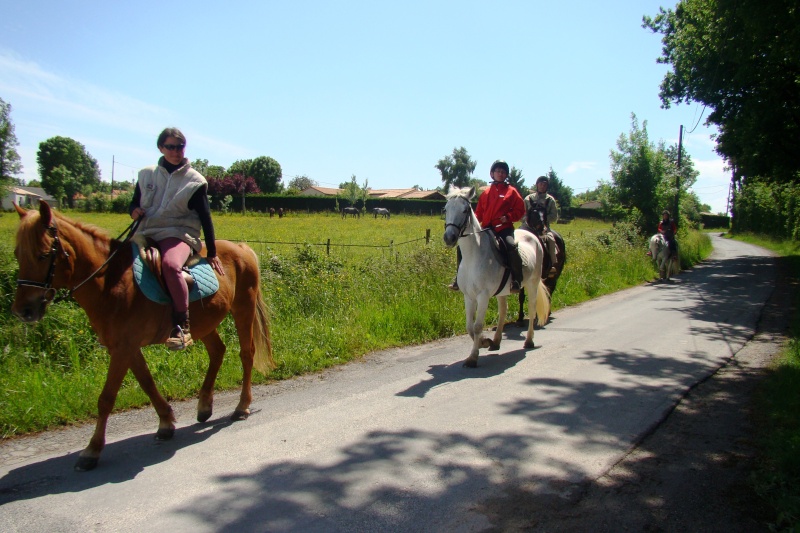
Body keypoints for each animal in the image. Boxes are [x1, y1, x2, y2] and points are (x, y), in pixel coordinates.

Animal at [11, 201, 276, 470]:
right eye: (17, 254)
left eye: (43, 254)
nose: (24, 310)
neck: (111, 281)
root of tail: (241, 248)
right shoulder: (125, 347)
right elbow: (147, 382)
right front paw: (166, 423)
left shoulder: (122, 349)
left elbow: (106, 398)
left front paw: (92, 449)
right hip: (204, 322)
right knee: (217, 351)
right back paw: (204, 406)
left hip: (243, 308)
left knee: (246, 354)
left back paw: (242, 406)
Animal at [444, 186, 552, 366]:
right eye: (445, 209)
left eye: (465, 210)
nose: (449, 237)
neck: (474, 255)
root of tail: (533, 235)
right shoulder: (469, 296)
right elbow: (469, 326)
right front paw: (484, 342)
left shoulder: (483, 296)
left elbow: (477, 326)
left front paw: (473, 357)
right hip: (502, 291)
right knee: (503, 311)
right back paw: (495, 341)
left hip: (532, 283)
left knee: (531, 309)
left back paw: (529, 341)